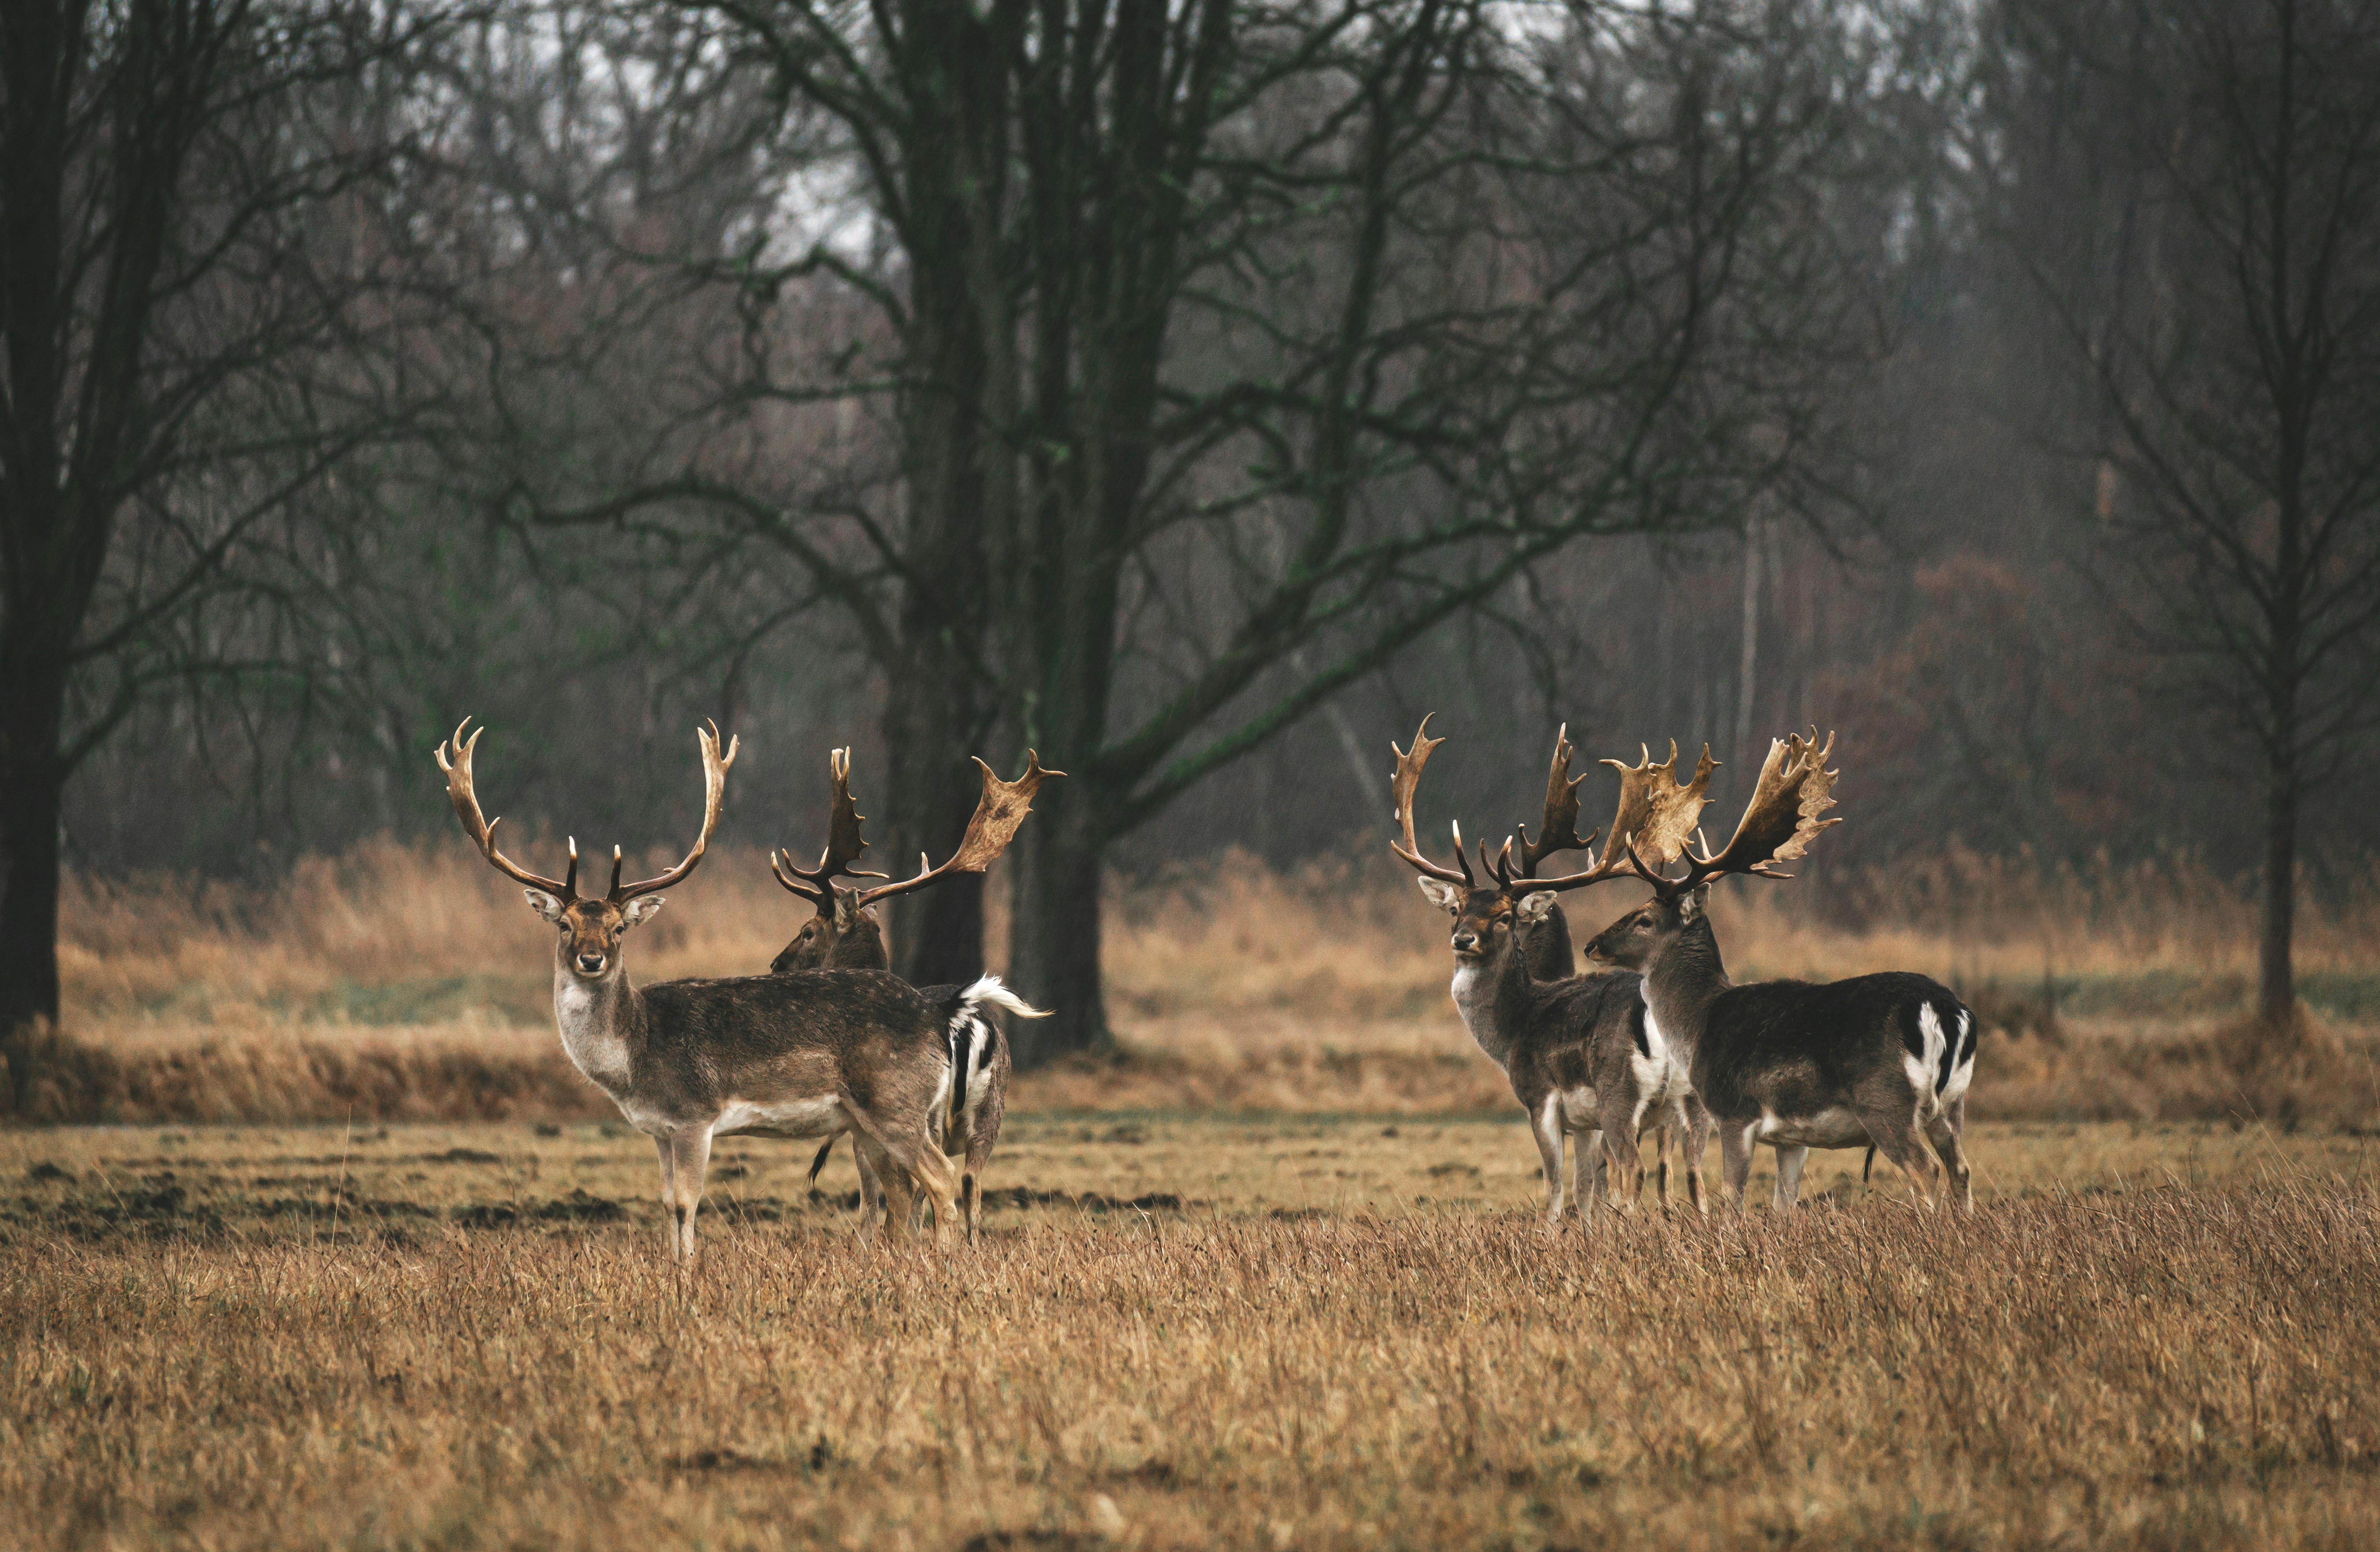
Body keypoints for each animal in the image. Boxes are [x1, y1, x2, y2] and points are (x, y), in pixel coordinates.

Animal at [433, 717, 979, 1260]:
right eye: (564, 925)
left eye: (618, 927)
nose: (592, 958)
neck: (634, 1057)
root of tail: (938, 1020)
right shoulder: (659, 1129)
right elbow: (666, 1203)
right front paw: (673, 1266)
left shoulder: (695, 1114)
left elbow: (685, 1202)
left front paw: (687, 1270)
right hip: (869, 1118)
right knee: (906, 1189)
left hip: (894, 1100)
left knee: (941, 1175)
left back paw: (945, 1261)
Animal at [768, 746, 1055, 1242]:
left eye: (807, 932)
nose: (776, 965)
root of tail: (965, 1019)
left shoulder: (865, 1127)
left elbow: (874, 1196)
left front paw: (876, 1240)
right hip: (992, 1109)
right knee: (972, 1182)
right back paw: (966, 1245)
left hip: (921, 1111)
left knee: (930, 1182)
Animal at [1391, 717, 1714, 1222]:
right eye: (1455, 910)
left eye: (1505, 915)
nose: (1462, 940)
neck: (1512, 1029)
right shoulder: (1584, 1123)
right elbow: (1585, 1189)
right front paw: (1586, 1231)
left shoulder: (1540, 1096)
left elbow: (1557, 1185)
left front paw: (1550, 1231)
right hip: (1689, 1101)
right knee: (1697, 1177)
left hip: (1619, 1094)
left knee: (1635, 1169)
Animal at [1579, 731, 1980, 1212]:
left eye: (1643, 919)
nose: (1592, 944)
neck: (1697, 1025)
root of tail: (1945, 1010)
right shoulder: (1792, 1139)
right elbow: (1783, 1204)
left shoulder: (1734, 1112)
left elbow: (1732, 1198)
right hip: (1953, 1102)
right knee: (1961, 1168)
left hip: (1885, 1100)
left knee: (1926, 1170)